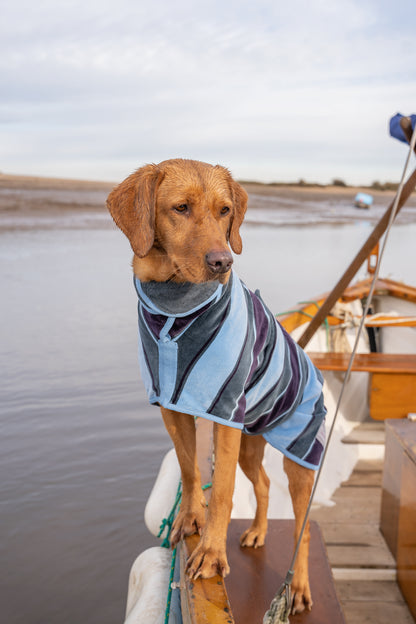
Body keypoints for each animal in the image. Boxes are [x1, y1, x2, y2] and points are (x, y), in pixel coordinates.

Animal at [106, 158, 324, 612]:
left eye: (225, 211)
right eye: (181, 207)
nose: (224, 262)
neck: (174, 308)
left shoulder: (225, 414)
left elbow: (222, 490)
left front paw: (210, 553)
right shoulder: (172, 407)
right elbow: (190, 469)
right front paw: (191, 517)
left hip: (299, 457)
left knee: (304, 526)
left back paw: (298, 587)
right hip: (251, 443)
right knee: (263, 484)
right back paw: (258, 531)